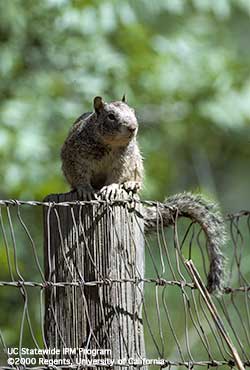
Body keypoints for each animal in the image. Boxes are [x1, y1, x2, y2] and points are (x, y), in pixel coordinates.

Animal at [60, 96, 227, 294]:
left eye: (134, 112)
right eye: (111, 116)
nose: (133, 127)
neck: (109, 144)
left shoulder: (124, 162)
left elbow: (117, 177)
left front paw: (113, 188)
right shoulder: (75, 156)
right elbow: (79, 175)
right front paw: (85, 189)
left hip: (137, 161)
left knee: (134, 177)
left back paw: (131, 185)